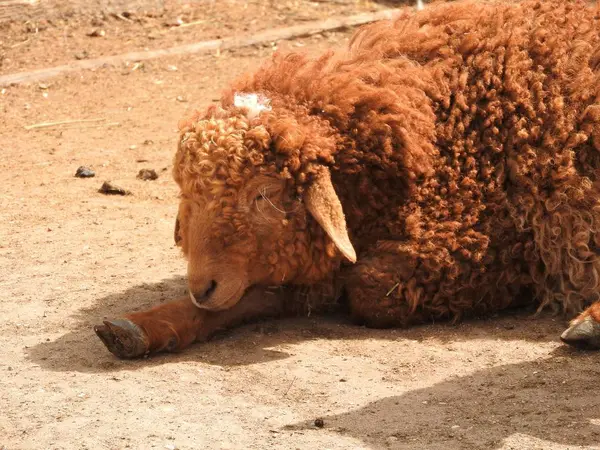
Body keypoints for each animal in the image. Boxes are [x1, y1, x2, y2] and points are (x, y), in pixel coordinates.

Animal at [95, 0, 600, 358]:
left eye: (263, 194)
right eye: (189, 195)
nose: (202, 286)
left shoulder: (487, 250)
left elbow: (362, 288)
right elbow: (276, 290)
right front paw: (144, 325)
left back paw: (588, 323)